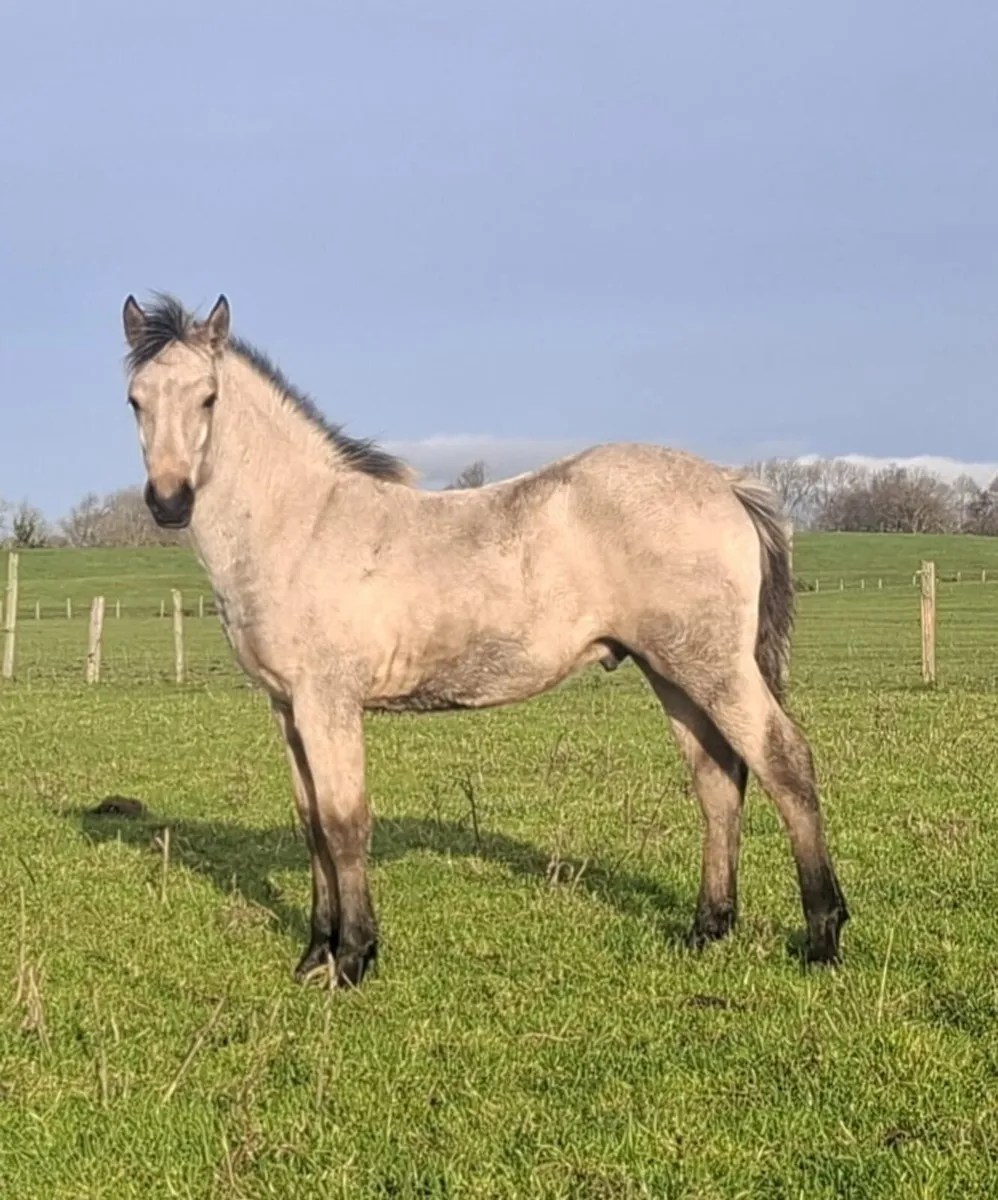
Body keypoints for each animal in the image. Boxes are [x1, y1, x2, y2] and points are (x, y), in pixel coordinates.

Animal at [121, 292, 848, 988]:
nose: (168, 502)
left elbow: (344, 822)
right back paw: (707, 929)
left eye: (209, 397)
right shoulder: (286, 708)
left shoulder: (328, 702)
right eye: (135, 400)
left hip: (714, 667)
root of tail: (725, 481)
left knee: (784, 762)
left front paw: (352, 959)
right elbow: (312, 826)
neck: (303, 525)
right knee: (717, 779)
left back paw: (822, 937)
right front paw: (313, 956)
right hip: (670, 671)